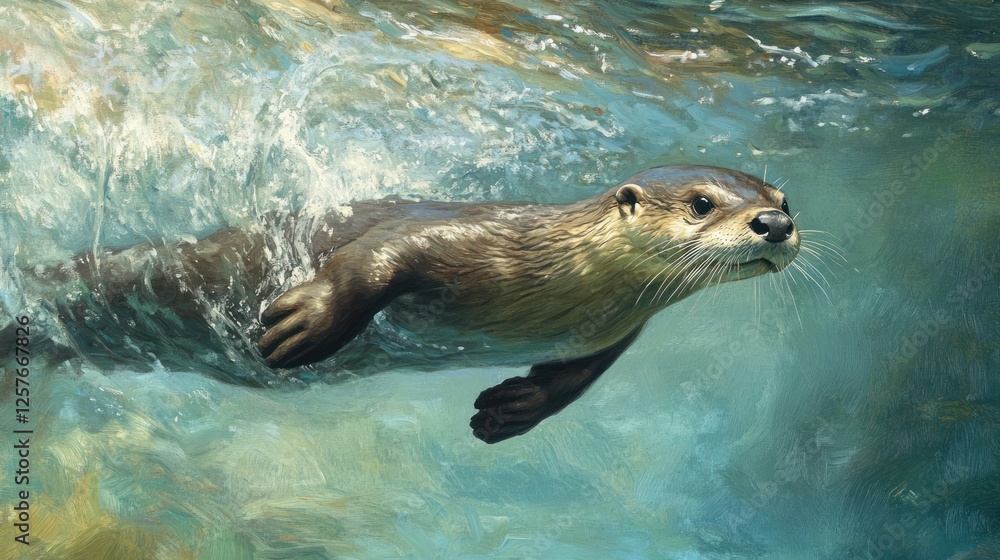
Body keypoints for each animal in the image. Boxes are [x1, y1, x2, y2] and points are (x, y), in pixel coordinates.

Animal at [19, 166, 799, 443]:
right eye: (703, 203)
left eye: (784, 197)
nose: (775, 225)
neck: (557, 280)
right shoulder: (467, 239)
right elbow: (376, 258)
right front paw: (304, 325)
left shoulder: (614, 327)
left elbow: (578, 378)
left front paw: (510, 410)